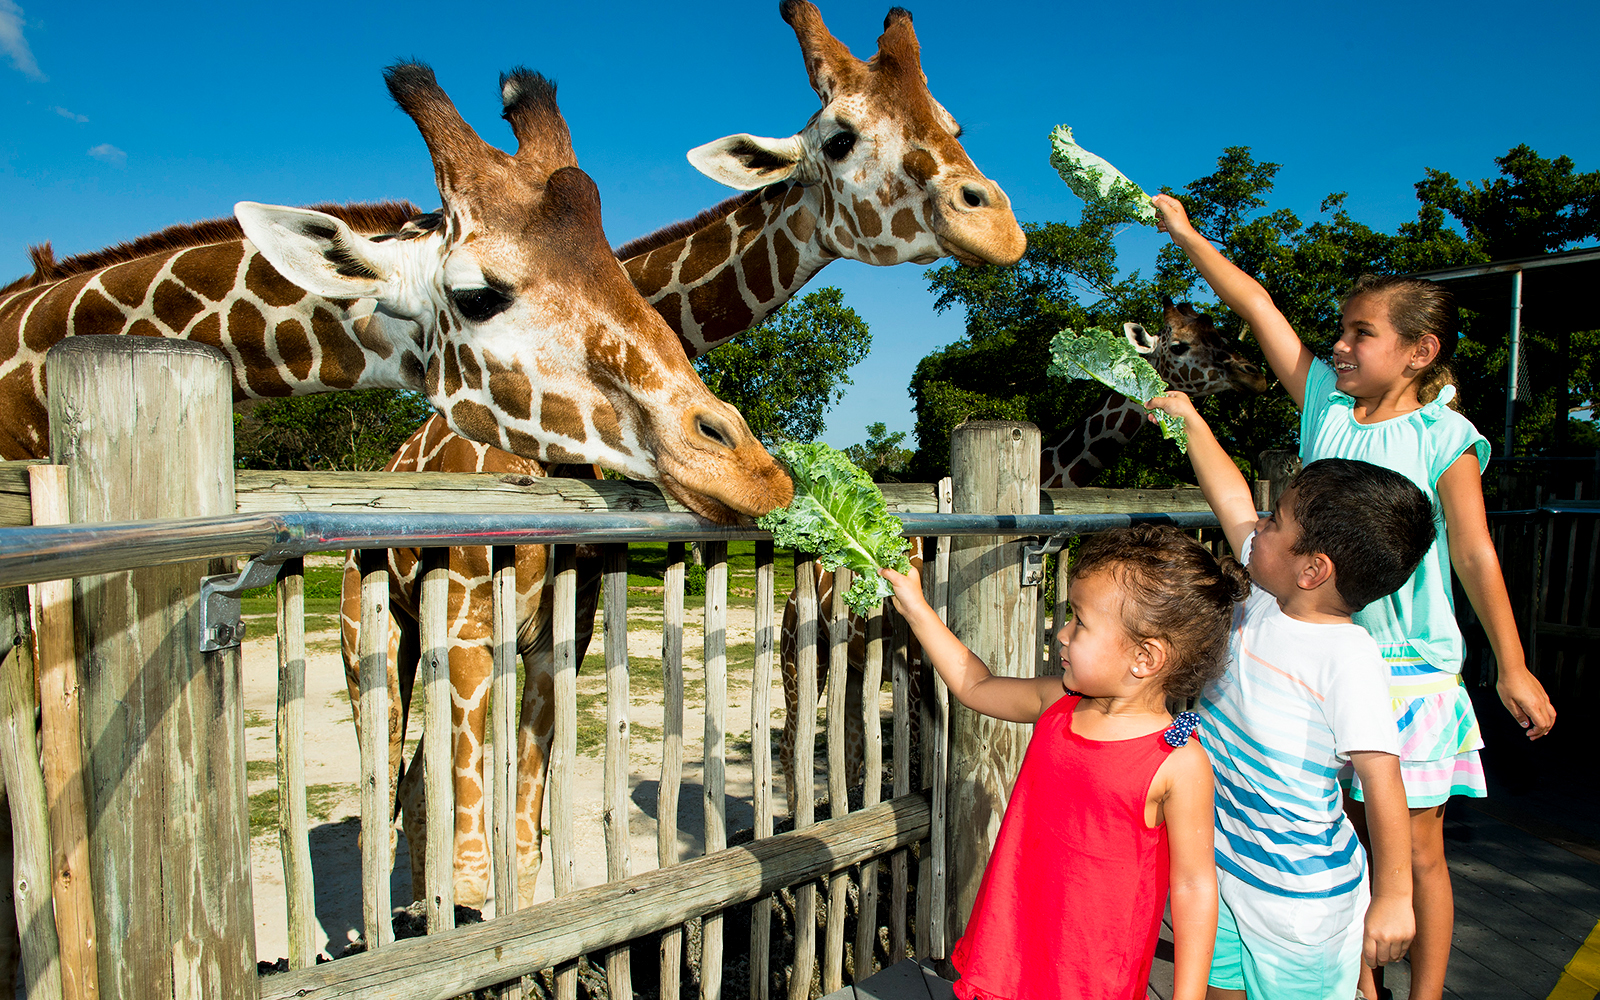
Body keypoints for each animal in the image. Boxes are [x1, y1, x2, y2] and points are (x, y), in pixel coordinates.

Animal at [341, 0, 1029, 914]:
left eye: (953, 124)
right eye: (840, 136)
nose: (1001, 226)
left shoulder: (561, 636)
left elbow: (518, 842)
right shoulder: (464, 630)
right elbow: (482, 856)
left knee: (417, 791)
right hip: (370, 635)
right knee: (388, 792)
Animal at [777, 297, 1270, 809]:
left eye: (1218, 330)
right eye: (1180, 344)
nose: (1254, 374)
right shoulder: (914, 670)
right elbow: (916, 770)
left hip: (855, 667)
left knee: (851, 748)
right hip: (800, 651)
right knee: (792, 744)